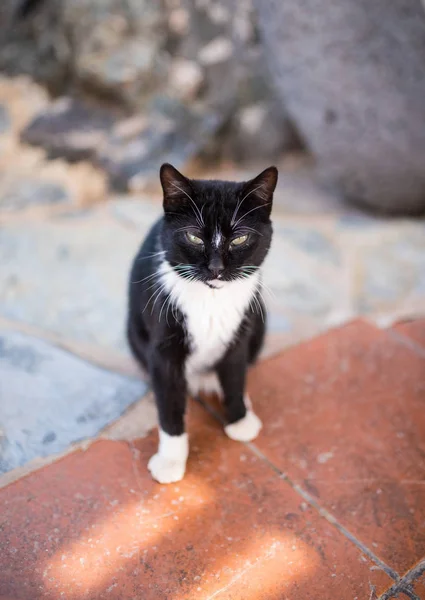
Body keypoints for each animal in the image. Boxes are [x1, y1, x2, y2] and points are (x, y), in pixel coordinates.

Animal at [127, 163, 276, 482]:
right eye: (194, 237)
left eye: (240, 239)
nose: (216, 269)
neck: (211, 299)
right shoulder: (164, 347)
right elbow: (169, 401)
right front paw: (170, 460)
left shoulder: (239, 332)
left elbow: (234, 374)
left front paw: (239, 418)